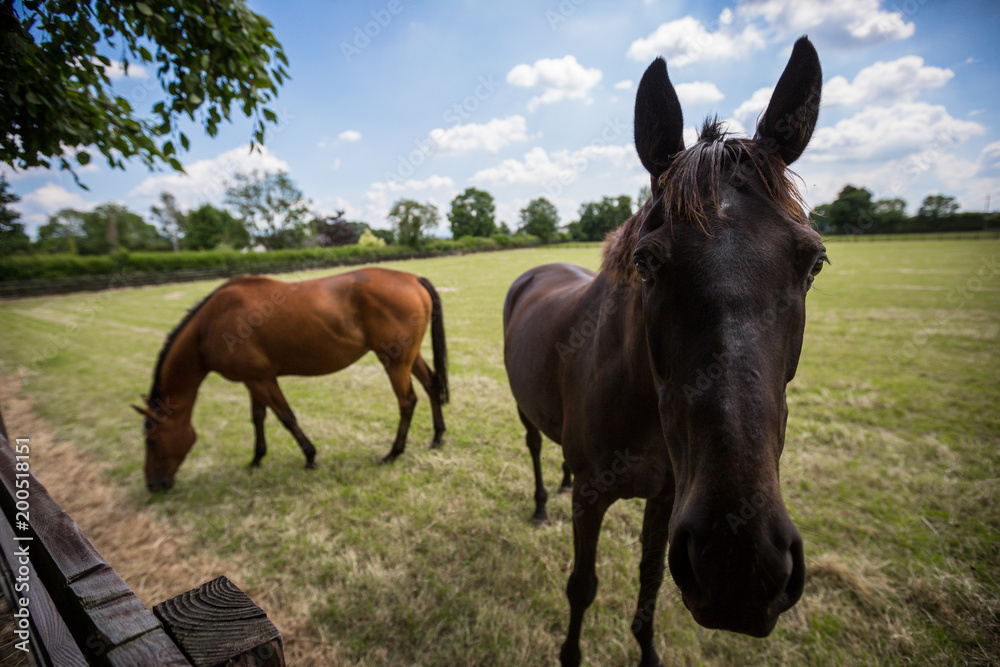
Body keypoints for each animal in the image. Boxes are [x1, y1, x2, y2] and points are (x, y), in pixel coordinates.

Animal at [134, 266, 450, 490]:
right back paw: (437, 438)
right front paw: (256, 459)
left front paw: (309, 456)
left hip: (395, 361)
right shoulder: (253, 380)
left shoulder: (262, 380)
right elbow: (258, 418)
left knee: (407, 401)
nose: (153, 485)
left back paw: (393, 453)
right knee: (431, 384)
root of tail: (413, 279)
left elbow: (286, 417)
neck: (210, 325)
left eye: (153, 441)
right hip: (408, 357)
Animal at [504, 37, 824, 667]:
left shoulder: (667, 499)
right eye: (647, 262)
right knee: (533, 448)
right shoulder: (594, 500)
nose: (739, 568)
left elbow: (650, 583)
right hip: (526, 414)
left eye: (814, 262)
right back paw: (541, 500)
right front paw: (570, 653)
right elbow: (582, 586)